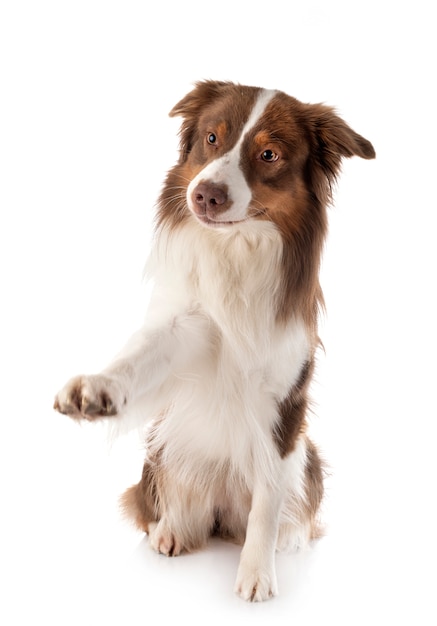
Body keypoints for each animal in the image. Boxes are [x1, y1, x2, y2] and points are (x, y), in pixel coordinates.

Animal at [53, 80, 374, 596]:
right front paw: (96, 388)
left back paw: (287, 538)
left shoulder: (284, 399)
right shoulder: (185, 330)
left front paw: (257, 572)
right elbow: (139, 357)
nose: (204, 195)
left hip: (306, 454)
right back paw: (171, 531)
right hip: (161, 449)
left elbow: (267, 498)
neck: (237, 249)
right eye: (211, 138)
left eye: (268, 154)